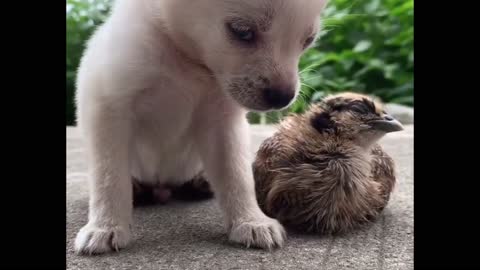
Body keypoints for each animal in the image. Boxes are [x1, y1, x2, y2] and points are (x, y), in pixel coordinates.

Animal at [75, 0, 328, 254]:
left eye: (308, 40)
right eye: (242, 31)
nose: (283, 98)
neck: (184, 57)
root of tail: (162, 187)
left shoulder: (222, 123)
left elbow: (237, 175)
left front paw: (251, 221)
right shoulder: (109, 110)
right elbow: (109, 177)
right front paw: (106, 226)